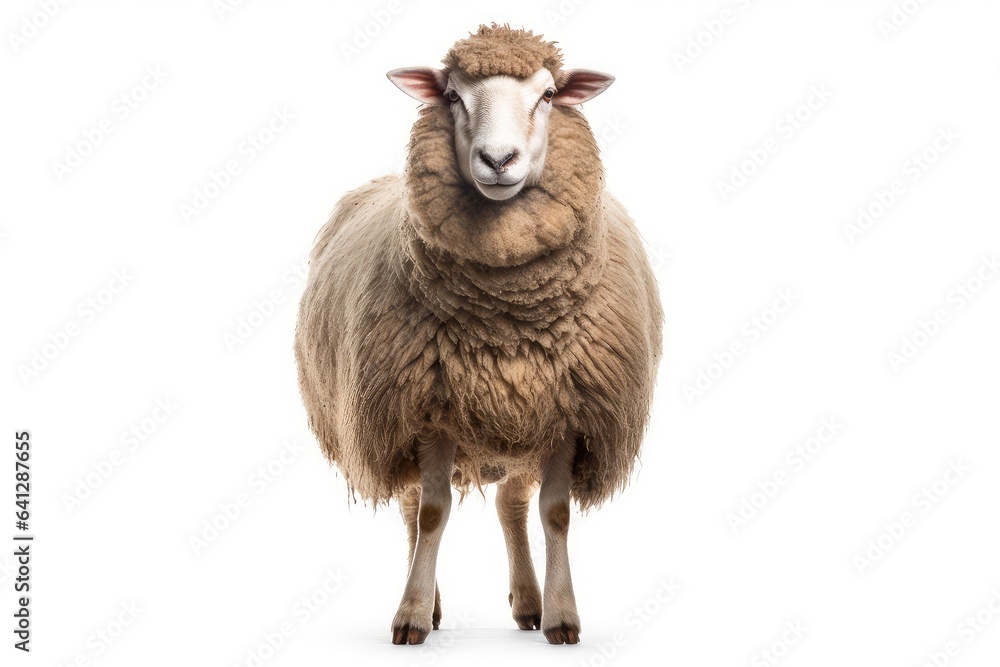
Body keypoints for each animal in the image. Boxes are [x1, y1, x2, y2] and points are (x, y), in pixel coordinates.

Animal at [295, 24, 662, 646]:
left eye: (547, 95)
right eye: (453, 96)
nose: (497, 159)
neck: (506, 316)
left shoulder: (566, 409)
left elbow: (554, 512)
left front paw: (563, 617)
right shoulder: (427, 409)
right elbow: (432, 512)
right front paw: (412, 616)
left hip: (517, 427)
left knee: (511, 505)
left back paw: (529, 604)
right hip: (395, 415)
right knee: (412, 504)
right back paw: (433, 603)